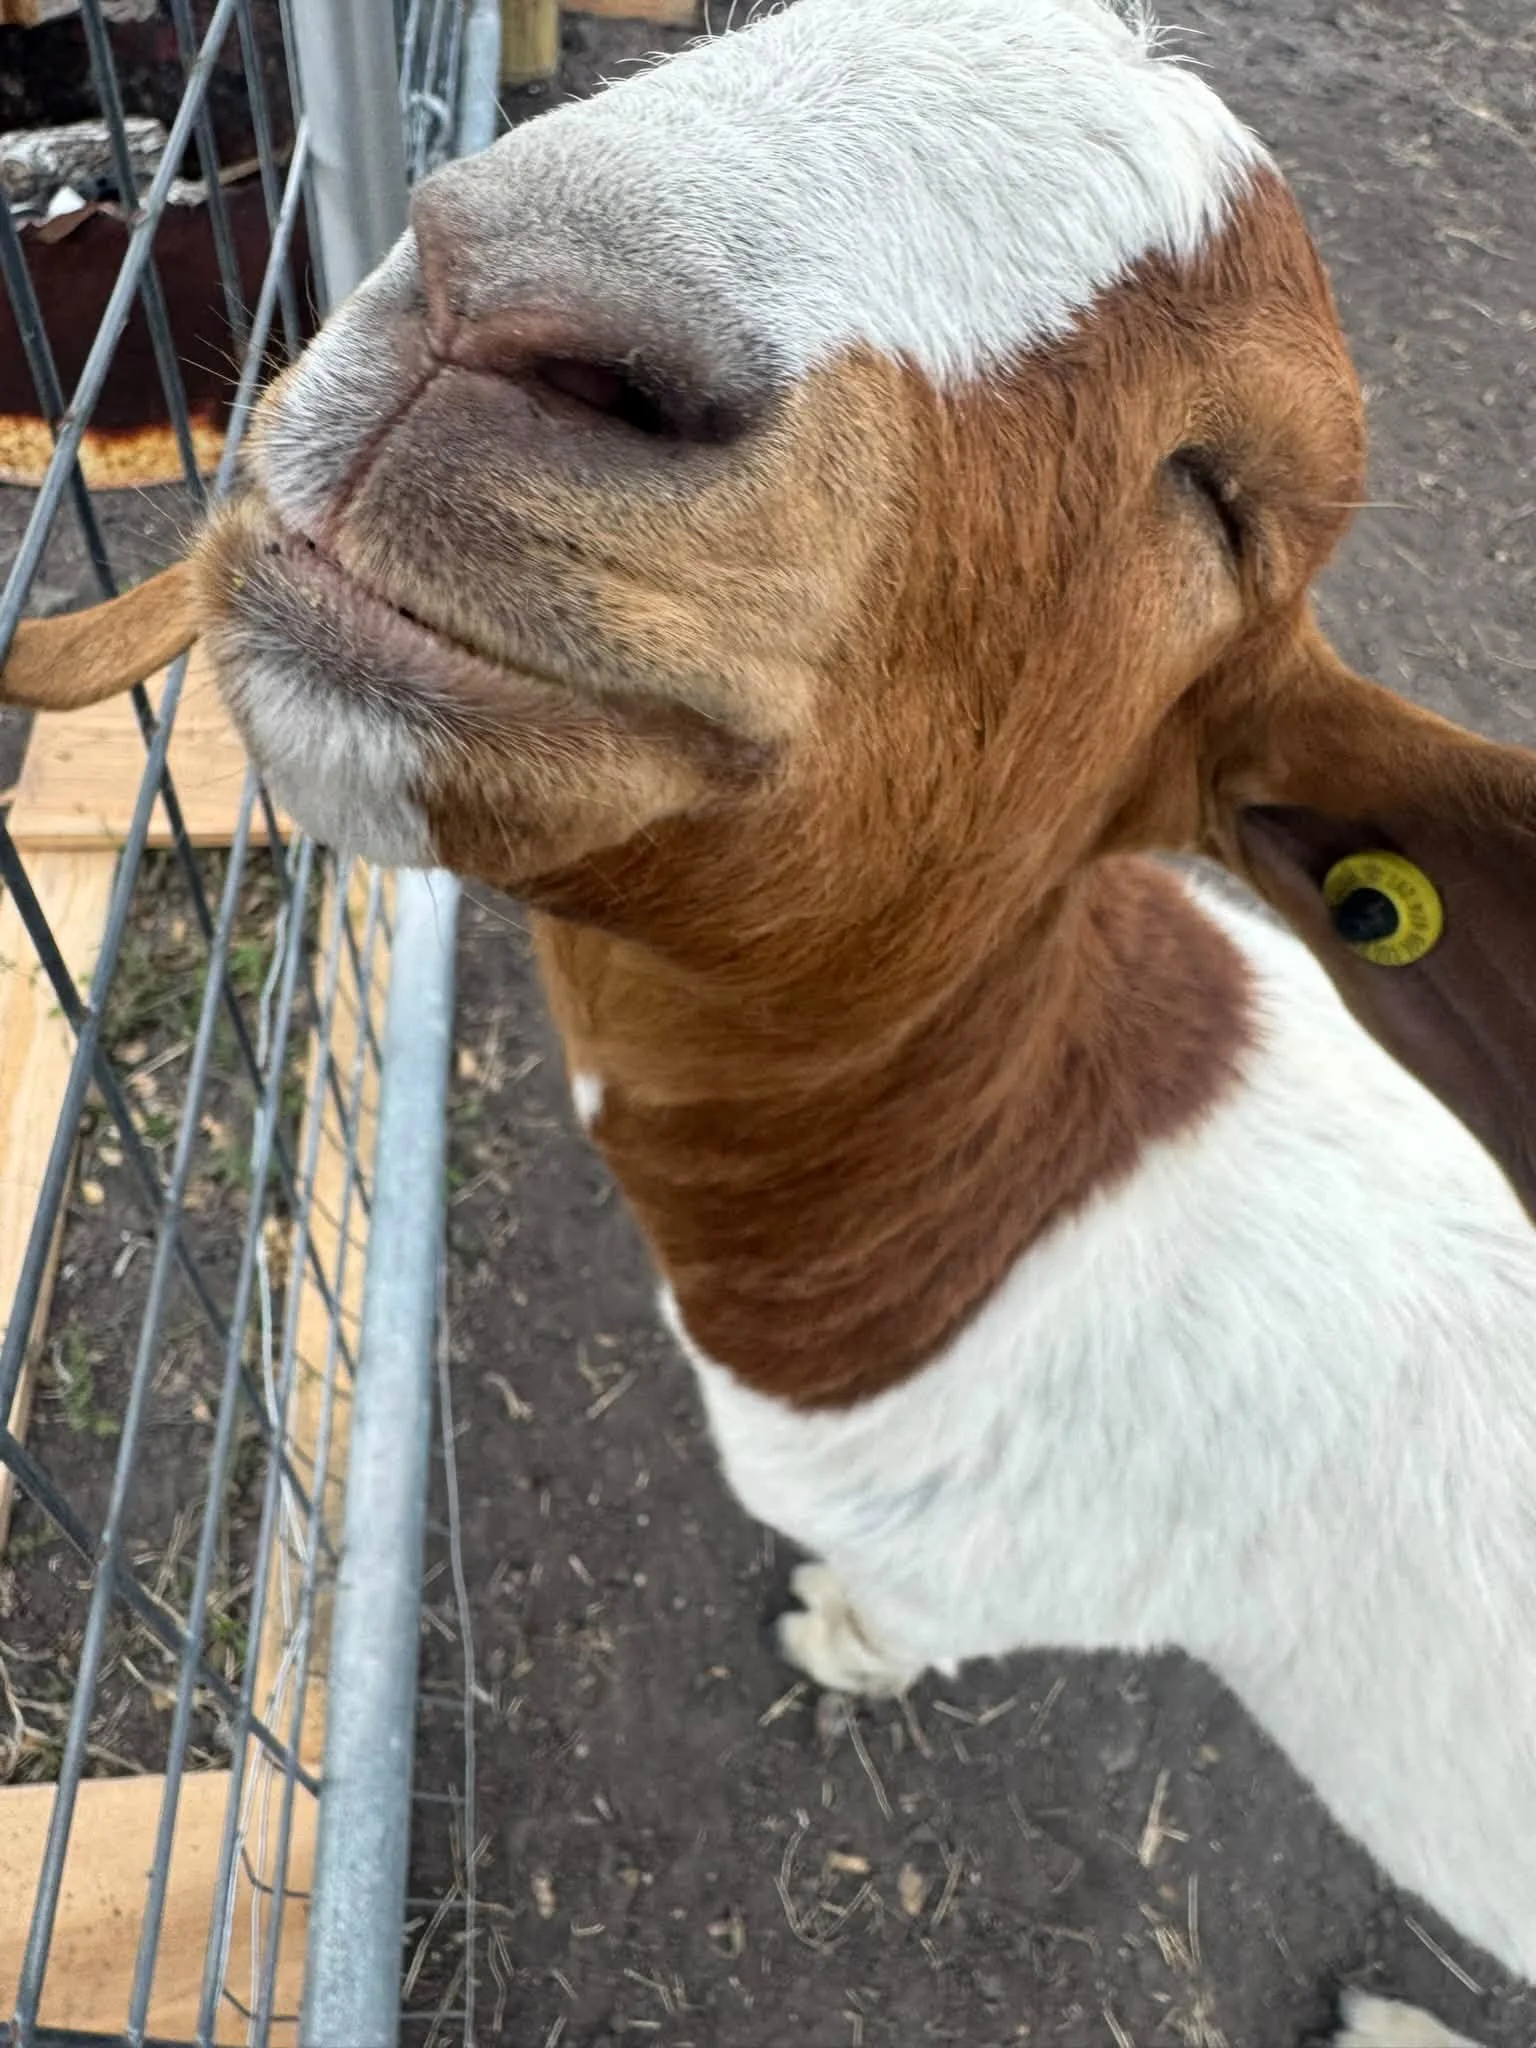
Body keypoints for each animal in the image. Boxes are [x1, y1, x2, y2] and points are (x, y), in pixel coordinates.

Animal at [61, 2, 1531, 2040]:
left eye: (1220, 492)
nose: (496, 298)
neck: (1017, 1213)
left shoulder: (976, 1572)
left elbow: (887, 1621)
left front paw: (834, 1637)